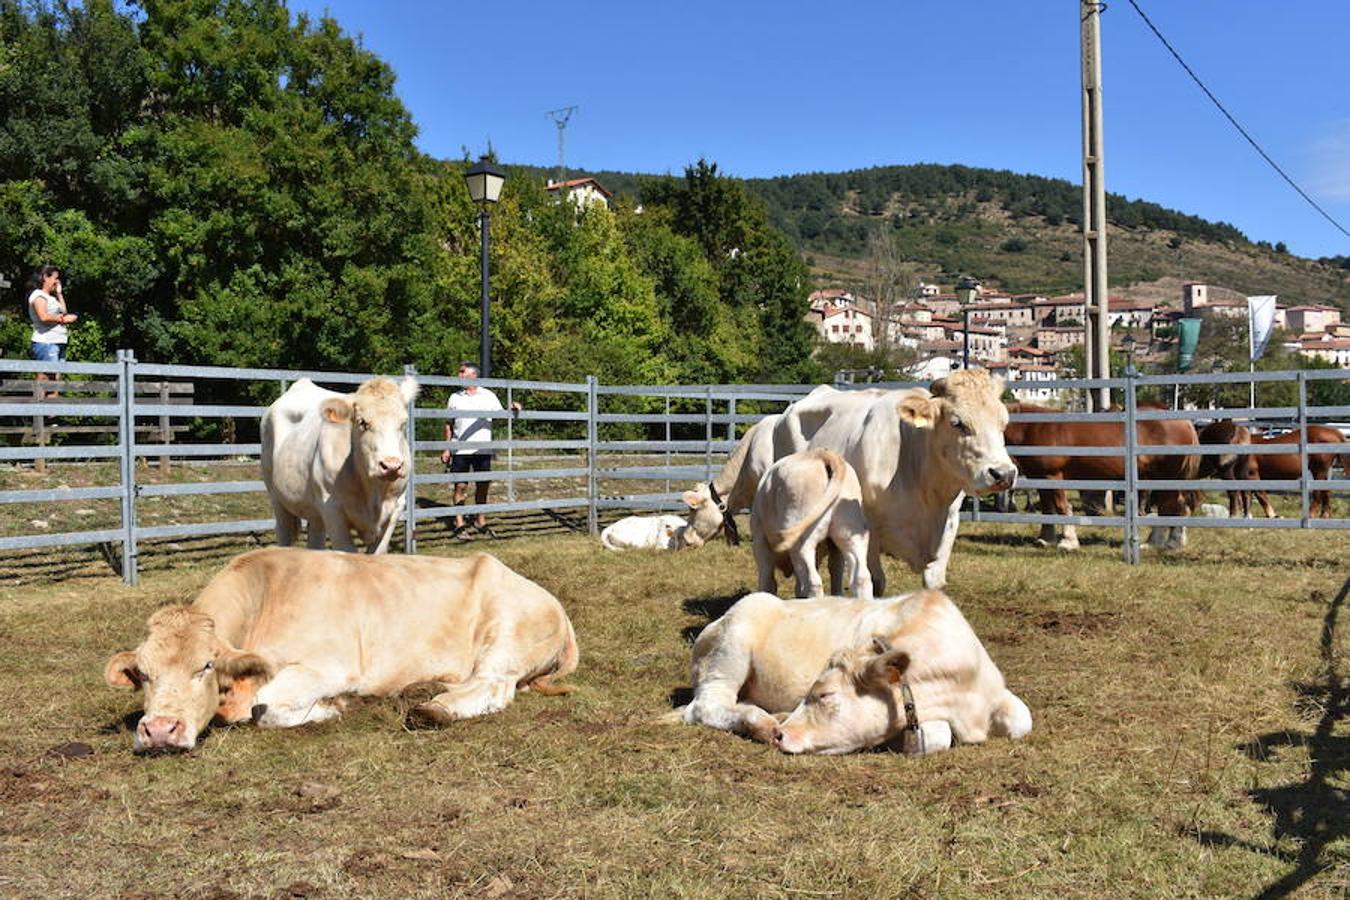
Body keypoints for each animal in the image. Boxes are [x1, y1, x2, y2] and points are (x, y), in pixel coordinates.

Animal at [99, 550, 575, 755]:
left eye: (205, 666)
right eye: (144, 674)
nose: (160, 731)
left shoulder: (331, 667)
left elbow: (264, 708)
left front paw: (332, 708)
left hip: (507, 633)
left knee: (494, 687)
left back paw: (432, 709)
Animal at [257, 372, 415, 550]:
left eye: (403, 423)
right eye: (362, 422)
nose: (391, 465)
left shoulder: (396, 507)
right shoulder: (331, 509)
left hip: (315, 512)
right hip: (277, 498)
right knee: (283, 532)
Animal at [666, 588, 1031, 755]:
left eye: (825, 695)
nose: (784, 735)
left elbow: (1022, 720)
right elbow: (936, 736)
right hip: (731, 649)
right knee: (705, 707)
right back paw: (762, 722)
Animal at [750, 447, 874, 601]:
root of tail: (821, 454)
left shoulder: (759, 541)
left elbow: (767, 581)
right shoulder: (835, 549)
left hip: (802, 543)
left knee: (813, 582)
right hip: (852, 533)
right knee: (862, 577)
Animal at [1004, 407, 1204, 550]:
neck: (1034, 426)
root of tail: (1185, 423)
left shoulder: (1053, 476)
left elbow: (1062, 507)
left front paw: (1068, 542)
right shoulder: (1040, 476)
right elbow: (1047, 509)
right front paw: (1045, 539)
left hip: (1165, 478)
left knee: (1169, 508)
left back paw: (1156, 543)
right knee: (1180, 507)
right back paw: (1174, 541)